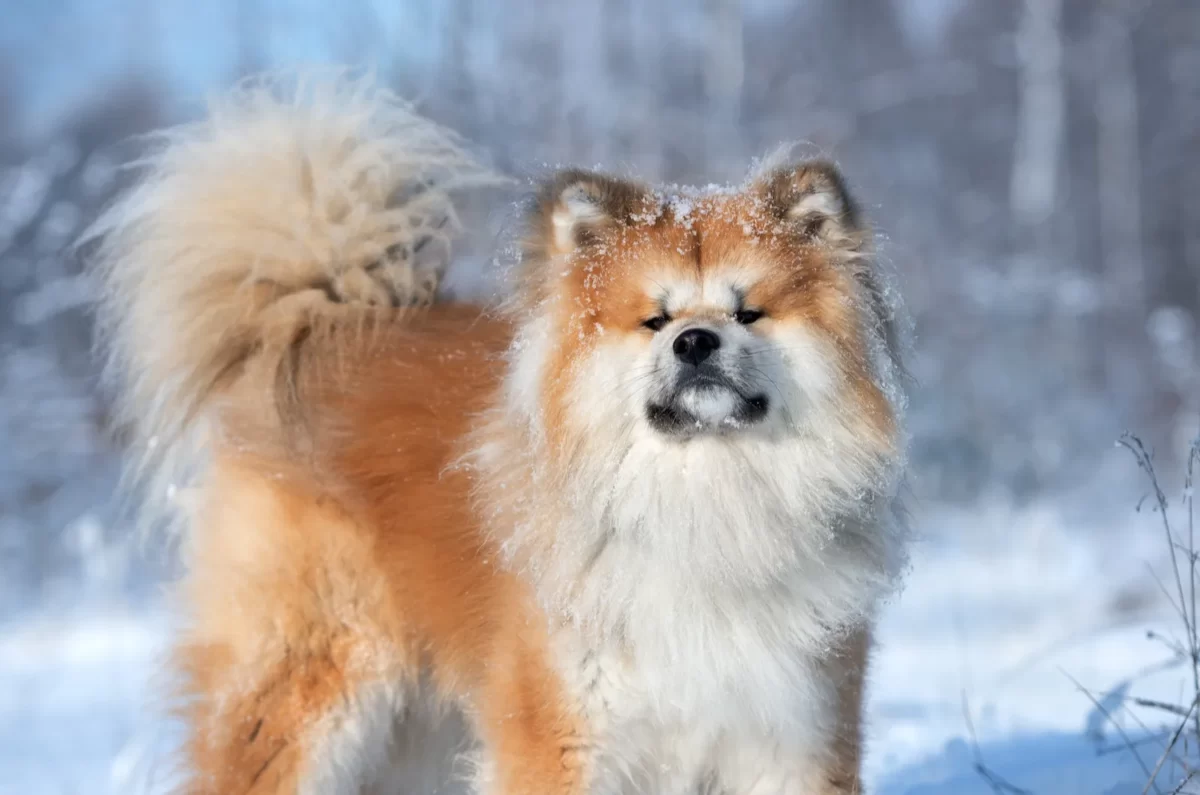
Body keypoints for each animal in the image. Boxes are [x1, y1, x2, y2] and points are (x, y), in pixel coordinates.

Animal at [91, 76, 907, 795]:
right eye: (654, 319)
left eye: (748, 313)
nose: (696, 342)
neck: (708, 506)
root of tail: (330, 318)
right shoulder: (562, 734)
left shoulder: (791, 735)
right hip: (312, 685)